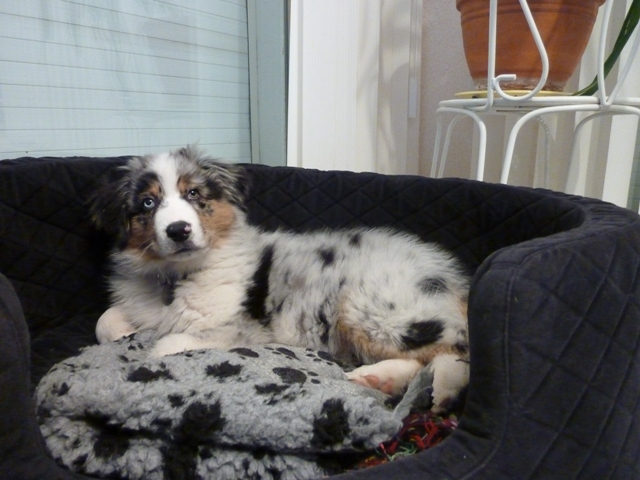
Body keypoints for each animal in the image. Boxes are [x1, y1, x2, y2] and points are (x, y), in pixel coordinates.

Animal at [90, 146, 470, 409]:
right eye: (148, 203)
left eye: (193, 194)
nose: (178, 230)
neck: (178, 274)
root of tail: (455, 277)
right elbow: (104, 321)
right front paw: (122, 332)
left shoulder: (236, 329)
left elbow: (165, 346)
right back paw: (378, 379)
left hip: (374, 308)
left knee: (458, 345)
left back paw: (443, 387)